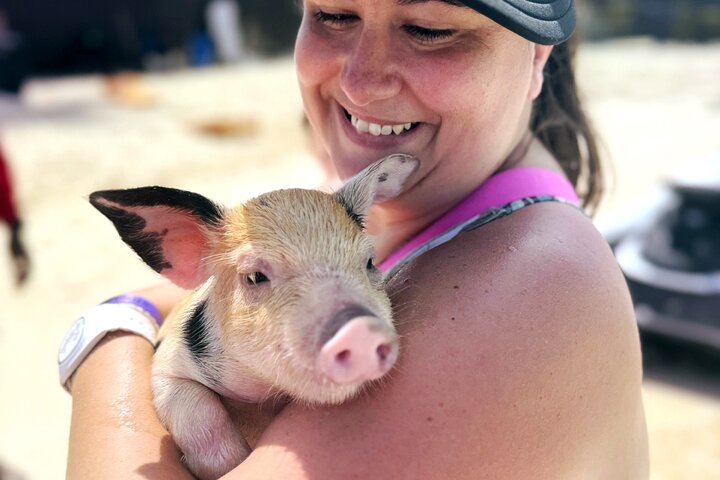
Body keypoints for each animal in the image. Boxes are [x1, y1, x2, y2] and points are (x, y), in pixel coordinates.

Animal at [89, 154, 419, 480]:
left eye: (369, 261)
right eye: (254, 277)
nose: (359, 328)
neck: (261, 394)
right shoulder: (166, 367)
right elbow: (199, 414)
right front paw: (232, 462)